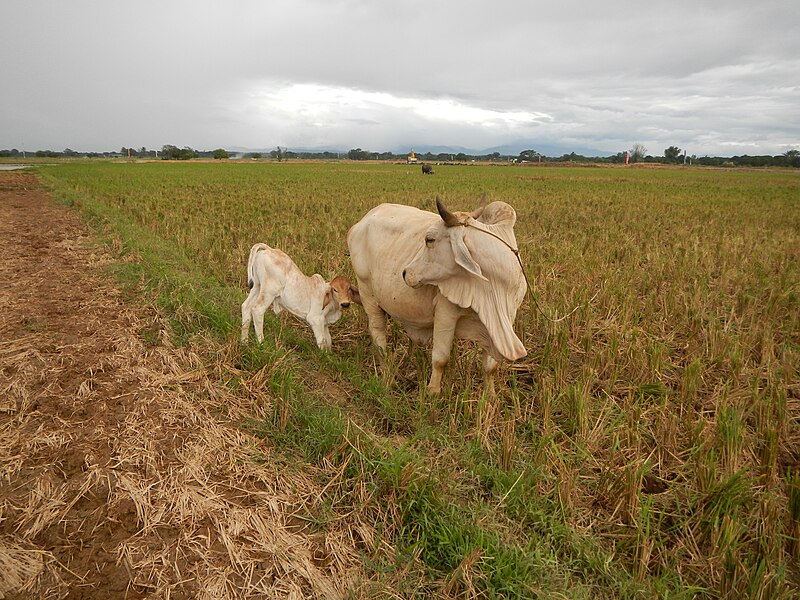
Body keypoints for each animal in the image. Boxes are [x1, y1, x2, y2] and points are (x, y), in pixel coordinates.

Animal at [346, 195, 528, 396]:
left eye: (429, 239)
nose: (405, 273)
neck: (492, 288)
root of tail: (361, 223)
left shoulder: (505, 319)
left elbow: (490, 367)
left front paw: (491, 397)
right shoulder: (445, 314)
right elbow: (441, 359)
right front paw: (433, 392)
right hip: (367, 293)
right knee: (379, 337)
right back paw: (387, 376)